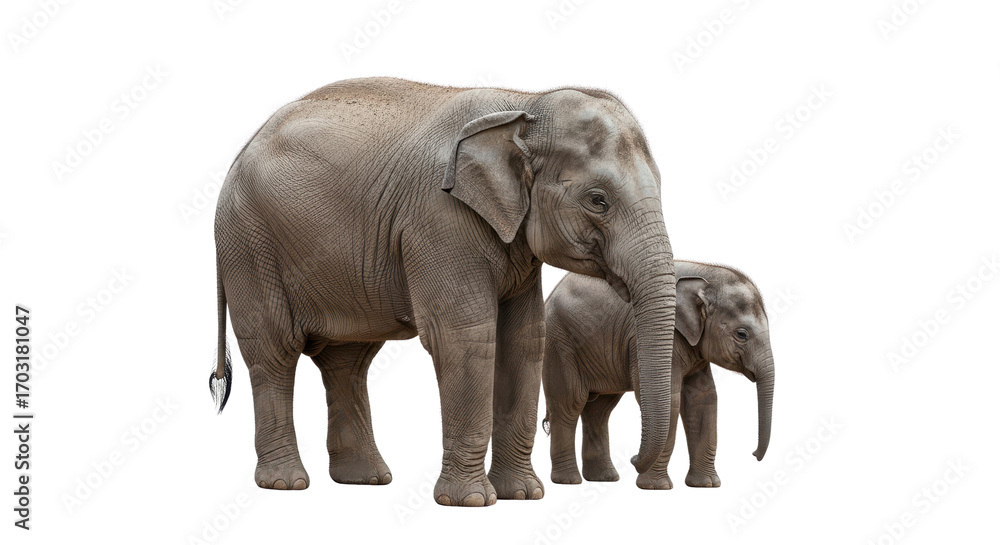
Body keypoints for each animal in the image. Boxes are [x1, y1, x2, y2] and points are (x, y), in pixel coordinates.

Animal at [208, 77, 678, 507]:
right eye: (598, 200)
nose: (634, 463)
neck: (526, 103)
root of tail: (241, 150)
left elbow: (523, 342)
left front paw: (522, 495)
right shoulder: (440, 218)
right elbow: (466, 338)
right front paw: (471, 501)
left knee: (347, 360)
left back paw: (366, 480)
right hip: (249, 242)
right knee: (274, 350)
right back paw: (285, 484)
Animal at [542, 260, 774, 489]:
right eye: (742, 334)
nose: (754, 454)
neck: (706, 274)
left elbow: (703, 399)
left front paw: (707, 484)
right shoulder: (656, 336)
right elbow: (670, 399)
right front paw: (656, 487)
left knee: (599, 409)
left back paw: (604, 478)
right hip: (559, 342)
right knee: (569, 403)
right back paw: (569, 480)